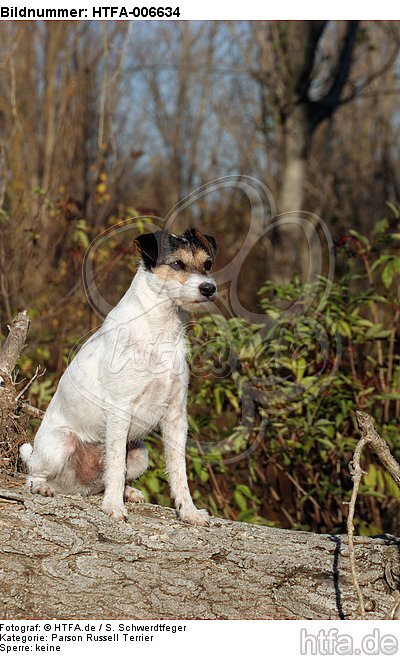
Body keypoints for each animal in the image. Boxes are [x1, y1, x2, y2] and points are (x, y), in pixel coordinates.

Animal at [20, 228, 217, 524]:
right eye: (177, 264)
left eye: (207, 264)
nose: (208, 288)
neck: (161, 329)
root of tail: (76, 485)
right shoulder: (120, 409)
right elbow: (114, 465)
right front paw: (113, 507)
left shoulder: (175, 416)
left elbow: (178, 470)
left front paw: (189, 511)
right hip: (60, 444)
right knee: (34, 474)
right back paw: (43, 487)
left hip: (140, 454)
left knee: (108, 478)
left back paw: (127, 492)